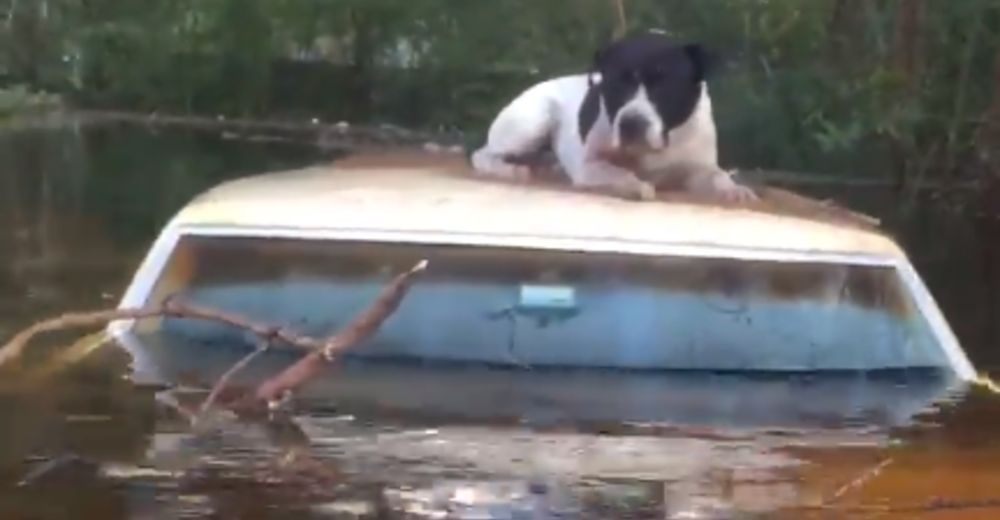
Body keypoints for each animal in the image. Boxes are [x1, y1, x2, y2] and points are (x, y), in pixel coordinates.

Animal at [472, 32, 752, 203]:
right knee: (483, 154)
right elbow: (617, 171)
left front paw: (734, 189)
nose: (632, 122)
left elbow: (717, 175)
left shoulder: (697, 167)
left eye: (664, 85)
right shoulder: (590, 165)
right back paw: (509, 169)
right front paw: (634, 185)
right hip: (532, 121)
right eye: (616, 84)